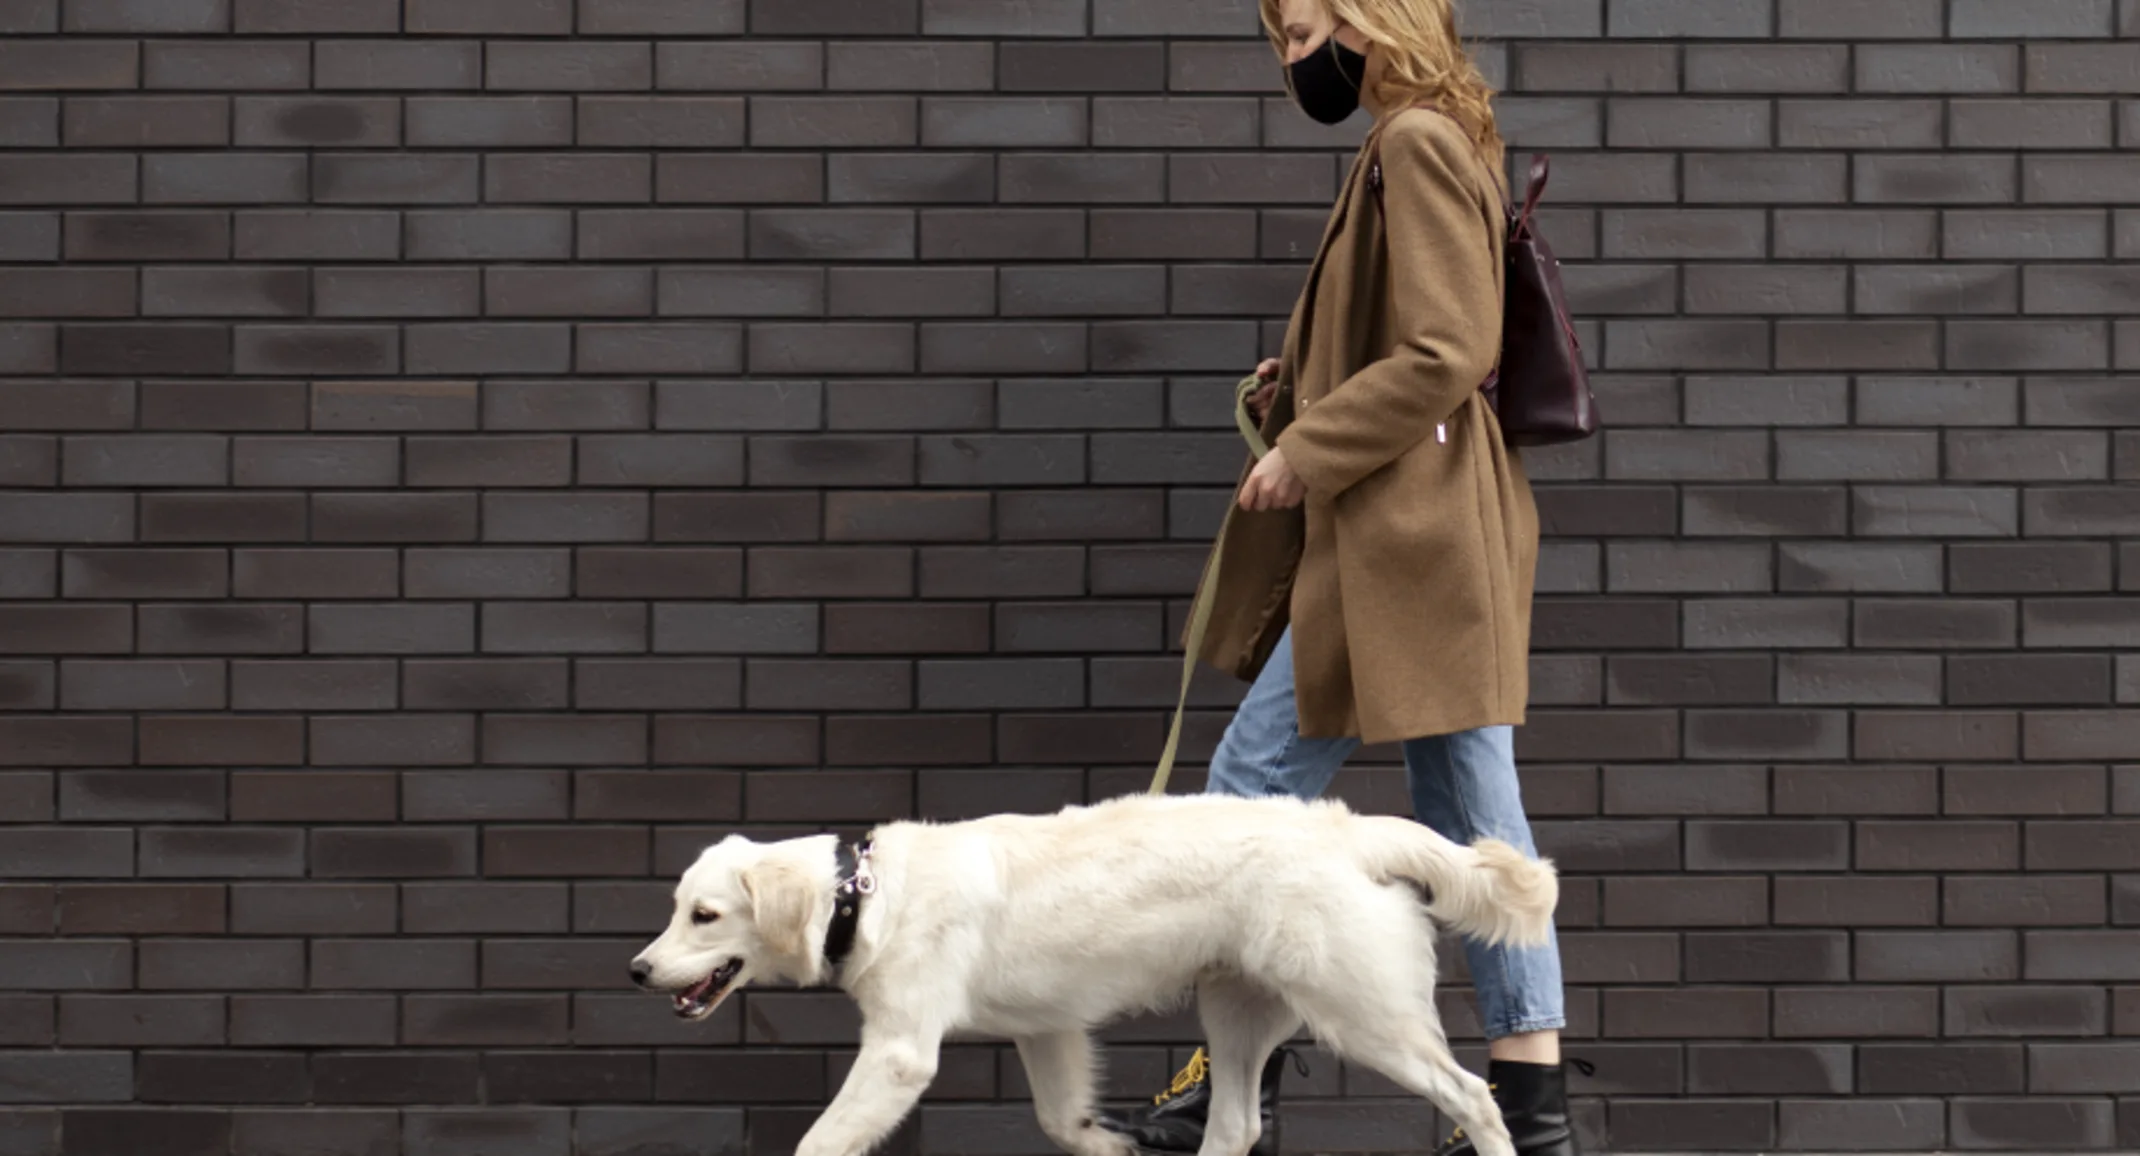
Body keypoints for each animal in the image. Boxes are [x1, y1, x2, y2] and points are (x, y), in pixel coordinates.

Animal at [624, 800, 1549, 1156]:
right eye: (676, 909)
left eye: (704, 915)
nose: (637, 970)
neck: (864, 894)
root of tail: (1352, 831)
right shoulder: (1048, 1028)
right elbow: (1062, 1121)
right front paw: (1110, 1144)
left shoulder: (898, 1054)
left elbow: (818, 1140)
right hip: (1235, 1012)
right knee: (1236, 1124)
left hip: (1364, 1015)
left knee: (1473, 1094)